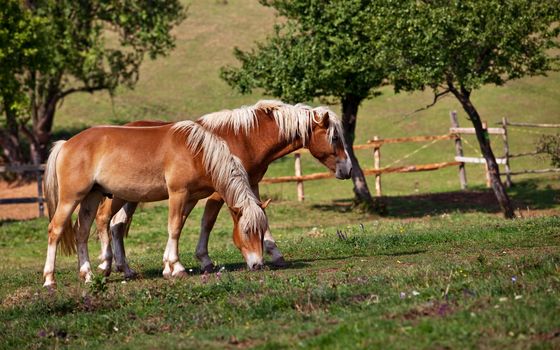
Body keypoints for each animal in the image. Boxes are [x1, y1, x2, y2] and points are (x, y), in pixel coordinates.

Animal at [41, 121, 270, 288]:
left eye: (262, 231)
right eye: (247, 231)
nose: (258, 264)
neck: (196, 151)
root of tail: (66, 144)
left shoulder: (189, 198)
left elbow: (178, 227)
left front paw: (168, 267)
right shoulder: (178, 193)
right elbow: (174, 227)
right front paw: (177, 268)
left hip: (92, 196)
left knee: (82, 231)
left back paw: (87, 274)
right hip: (71, 198)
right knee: (55, 230)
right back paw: (50, 279)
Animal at [95, 100, 350, 278]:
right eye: (335, 137)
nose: (347, 169)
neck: (244, 138)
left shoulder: (251, 184)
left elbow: (261, 217)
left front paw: (274, 254)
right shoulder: (219, 191)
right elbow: (207, 222)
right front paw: (203, 260)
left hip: (130, 197)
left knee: (117, 225)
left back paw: (124, 268)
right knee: (111, 222)